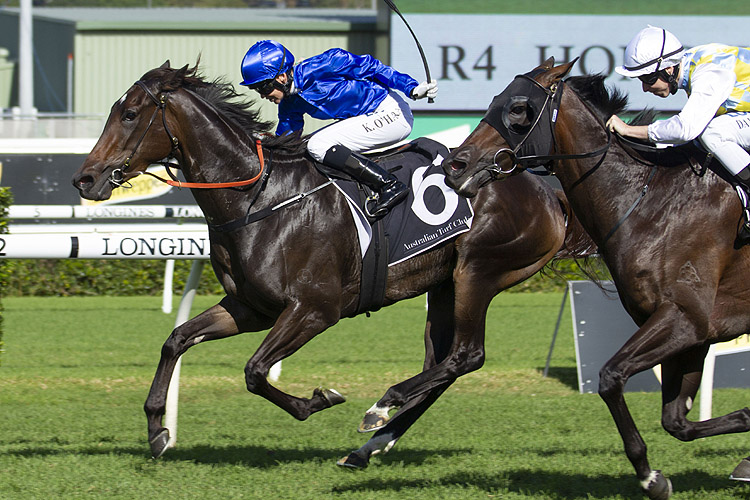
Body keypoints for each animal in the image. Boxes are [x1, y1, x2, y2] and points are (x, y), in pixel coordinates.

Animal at [72, 62, 580, 468]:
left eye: (129, 114)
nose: (86, 178)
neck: (259, 199)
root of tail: (545, 189)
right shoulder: (250, 308)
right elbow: (175, 340)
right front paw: (158, 430)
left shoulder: (316, 309)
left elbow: (255, 371)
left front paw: (317, 400)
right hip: (444, 286)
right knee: (442, 366)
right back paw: (370, 444)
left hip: (479, 273)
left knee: (465, 356)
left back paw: (381, 409)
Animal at [444, 56, 750, 498]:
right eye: (495, 99)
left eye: (518, 109)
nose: (456, 165)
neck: (650, 201)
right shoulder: (693, 333)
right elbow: (677, 422)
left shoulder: (684, 318)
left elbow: (610, 378)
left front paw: (649, 476)